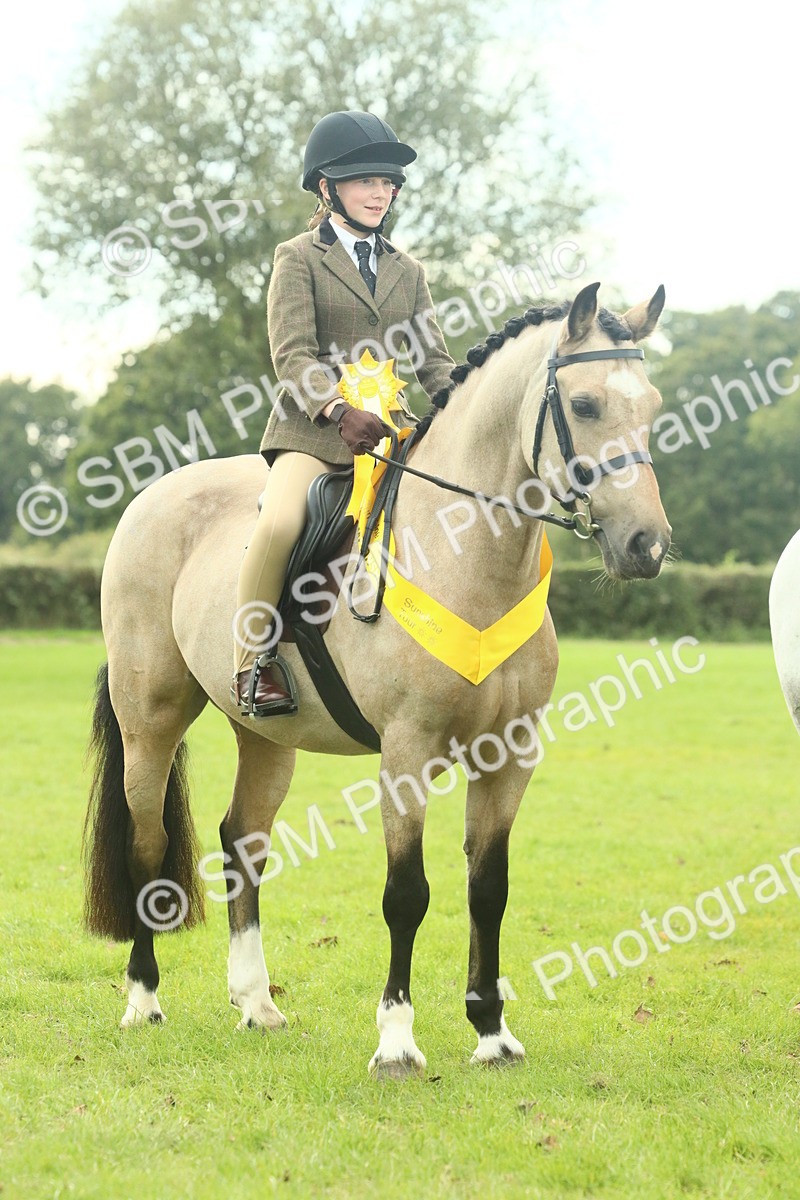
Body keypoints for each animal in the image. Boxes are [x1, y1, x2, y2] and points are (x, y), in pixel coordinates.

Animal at [83, 281, 672, 1077]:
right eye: (582, 405)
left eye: (653, 404)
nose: (648, 546)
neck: (469, 555)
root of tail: (149, 498)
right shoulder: (406, 751)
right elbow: (407, 894)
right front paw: (396, 1040)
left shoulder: (511, 755)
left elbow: (489, 888)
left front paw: (492, 1032)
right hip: (151, 718)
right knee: (146, 844)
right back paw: (143, 1000)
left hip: (264, 734)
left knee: (244, 840)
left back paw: (256, 1003)